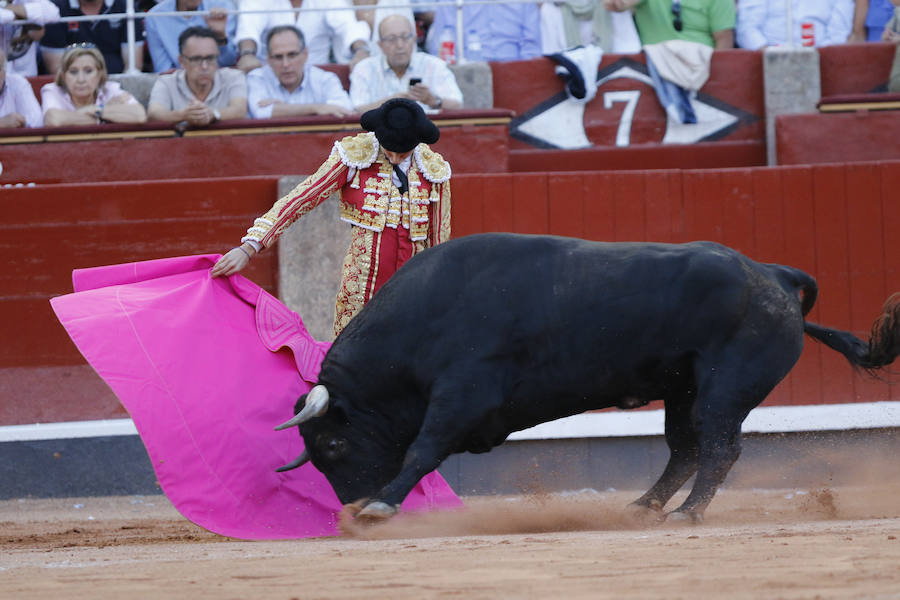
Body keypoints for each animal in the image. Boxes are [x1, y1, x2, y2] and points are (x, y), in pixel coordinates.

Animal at [272, 232, 900, 524]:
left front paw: (382, 507)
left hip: (724, 389)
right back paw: (642, 508)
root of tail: (772, 274)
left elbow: (422, 449)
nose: (349, 511)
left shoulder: (462, 394)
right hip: (683, 391)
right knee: (685, 448)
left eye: (334, 444)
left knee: (719, 447)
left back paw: (687, 513)